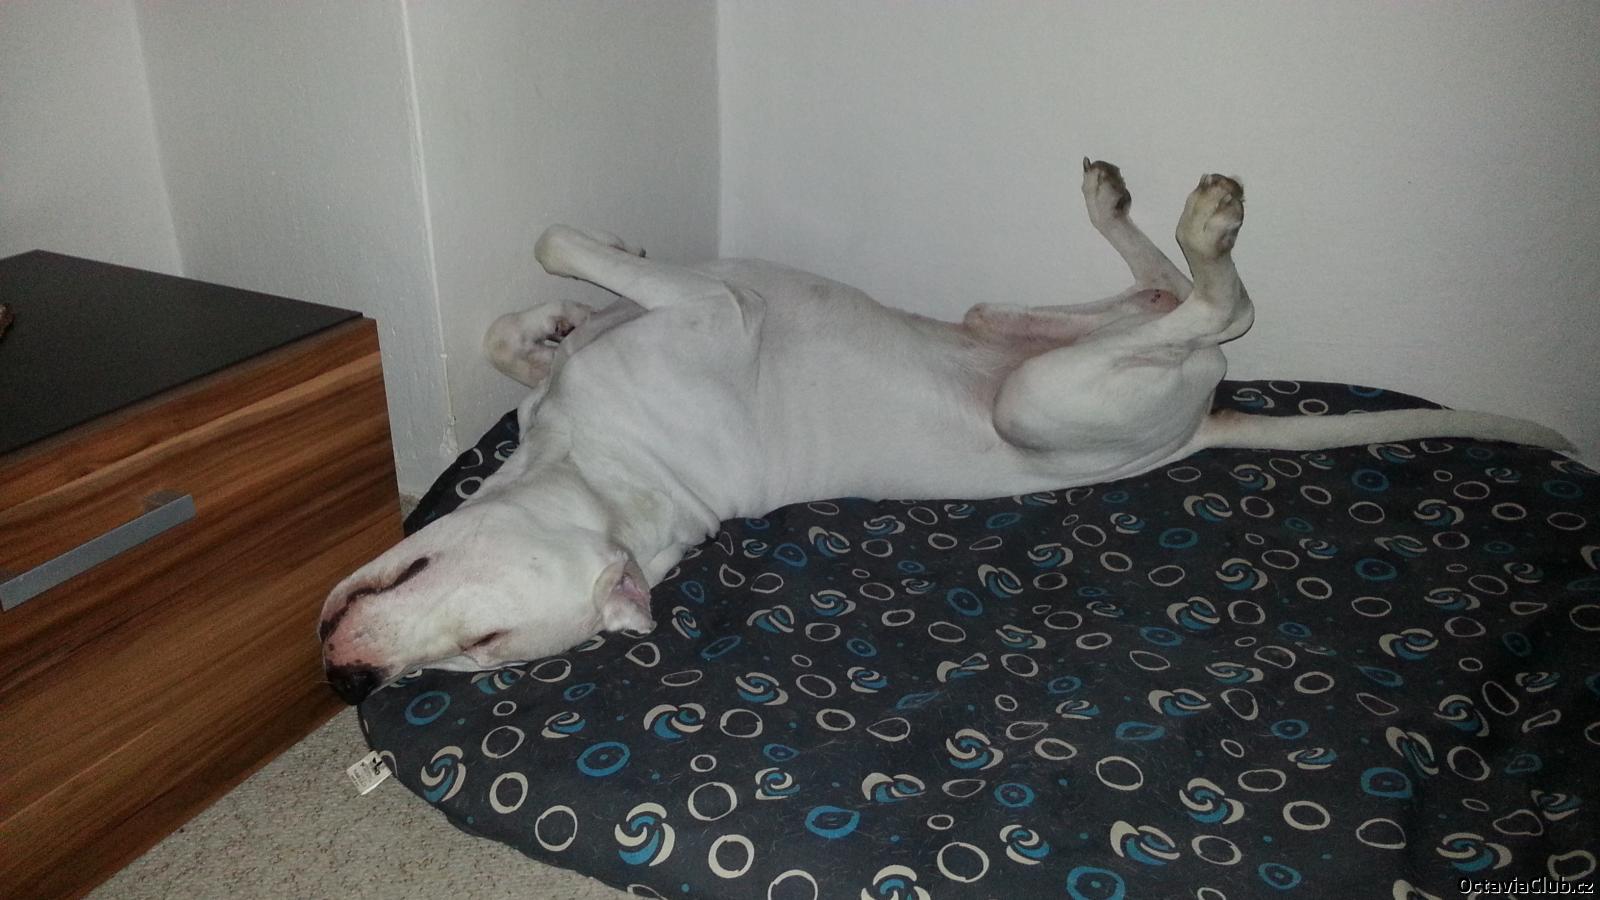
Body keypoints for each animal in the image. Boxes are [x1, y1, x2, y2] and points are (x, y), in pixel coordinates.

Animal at [319, 160, 1569, 704]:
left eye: (485, 641)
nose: (347, 675)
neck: (606, 477)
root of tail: (1201, 429)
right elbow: (522, 311)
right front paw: (548, 322)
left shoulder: (705, 304)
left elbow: (552, 255)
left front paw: (566, 297)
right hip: (1041, 346)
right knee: (1186, 304)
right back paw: (1146, 208)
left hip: (1039, 374)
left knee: (1216, 304)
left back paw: (1182, 216)